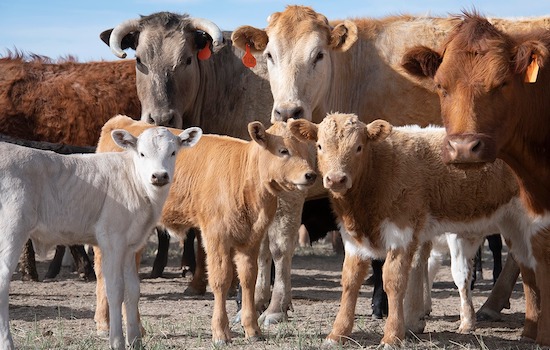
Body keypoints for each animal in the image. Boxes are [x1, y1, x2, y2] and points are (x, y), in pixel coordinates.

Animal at [0, 123, 203, 350]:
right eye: (142, 153)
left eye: (173, 152)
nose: (159, 176)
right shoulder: (112, 240)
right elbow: (114, 289)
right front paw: (117, 340)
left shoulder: (130, 245)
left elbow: (133, 290)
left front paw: (135, 340)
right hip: (12, 230)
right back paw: (7, 343)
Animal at [97, 115, 316, 344]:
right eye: (283, 150)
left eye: (305, 150)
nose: (310, 175)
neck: (243, 177)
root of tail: (122, 122)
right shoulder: (216, 235)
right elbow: (220, 279)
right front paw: (220, 332)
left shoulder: (251, 239)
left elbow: (248, 278)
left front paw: (252, 329)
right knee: (103, 272)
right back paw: (104, 325)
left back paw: (137, 329)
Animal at [292, 114, 544, 348]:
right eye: (320, 146)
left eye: (358, 147)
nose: (336, 179)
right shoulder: (354, 240)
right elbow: (350, 281)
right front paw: (337, 334)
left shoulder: (401, 234)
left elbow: (394, 281)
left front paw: (393, 336)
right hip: (513, 226)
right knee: (527, 271)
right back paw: (529, 332)